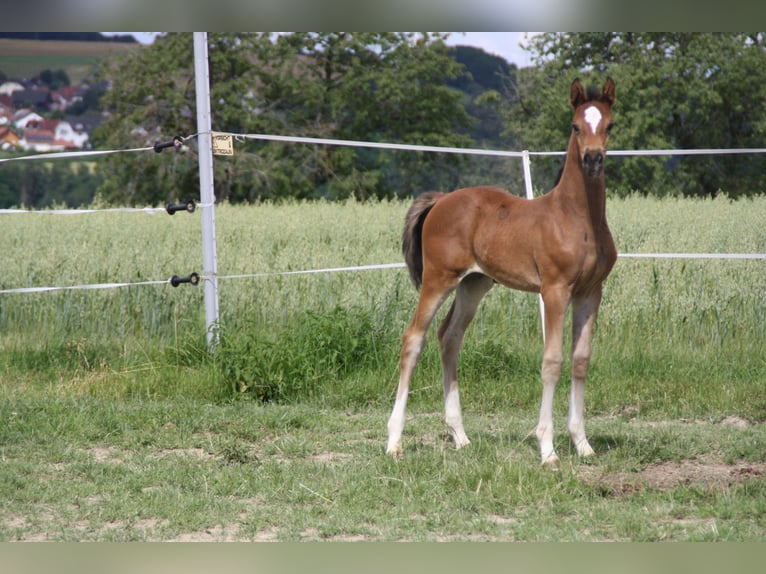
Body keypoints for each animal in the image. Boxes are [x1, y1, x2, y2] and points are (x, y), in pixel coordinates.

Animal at [388, 77, 620, 468]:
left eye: (609, 125)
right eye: (575, 126)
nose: (592, 159)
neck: (577, 218)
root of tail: (441, 199)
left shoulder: (591, 292)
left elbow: (581, 360)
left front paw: (583, 444)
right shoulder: (554, 290)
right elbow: (552, 361)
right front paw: (548, 450)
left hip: (473, 284)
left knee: (449, 336)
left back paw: (461, 437)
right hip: (439, 278)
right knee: (413, 337)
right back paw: (394, 442)